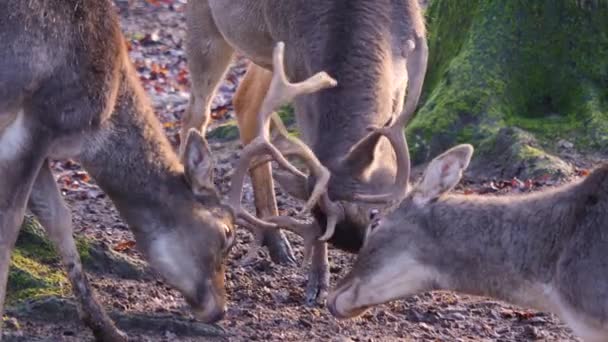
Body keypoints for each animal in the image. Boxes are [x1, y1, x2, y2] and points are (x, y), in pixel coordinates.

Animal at [0, 0, 284, 340]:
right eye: (226, 233)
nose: (221, 310)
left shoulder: (40, 143)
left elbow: (59, 220)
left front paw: (106, 327)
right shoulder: (38, 119)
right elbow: (10, 225)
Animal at [183, 0, 426, 304]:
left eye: (373, 214)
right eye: (320, 218)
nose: (352, 241)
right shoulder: (299, 70)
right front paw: (318, 283)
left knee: (245, 102)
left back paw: (277, 244)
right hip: (207, 25)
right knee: (196, 112)